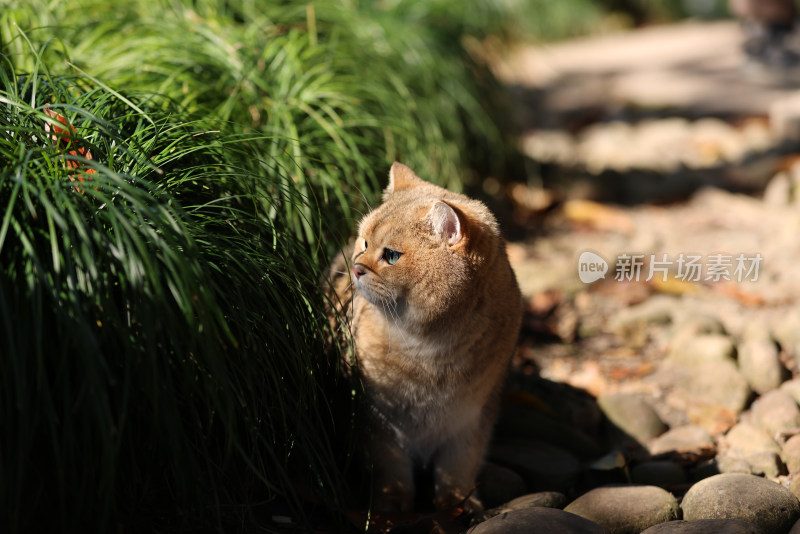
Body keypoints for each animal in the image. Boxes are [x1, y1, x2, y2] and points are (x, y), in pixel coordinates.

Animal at [326, 163, 524, 516]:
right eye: (363, 243)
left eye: (391, 255)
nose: (357, 269)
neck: (431, 346)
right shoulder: (377, 421)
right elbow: (390, 469)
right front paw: (393, 505)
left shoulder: (473, 419)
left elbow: (459, 466)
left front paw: (458, 503)